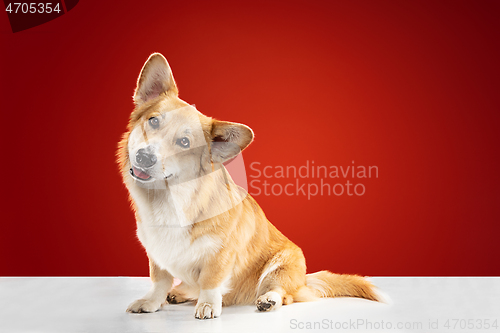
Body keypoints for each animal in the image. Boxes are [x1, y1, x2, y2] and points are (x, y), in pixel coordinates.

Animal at [117, 53, 380, 318]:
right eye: (153, 121)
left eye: (184, 142)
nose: (144, 157)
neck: (169, 199)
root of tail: (305, 281)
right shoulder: (156, 254)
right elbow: (159, 280)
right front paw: (151, 302)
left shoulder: (220, 254)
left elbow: (210, 281)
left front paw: (208, 305)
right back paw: (180, 293)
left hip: (281, 265)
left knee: (282, 293)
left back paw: (268, 300)